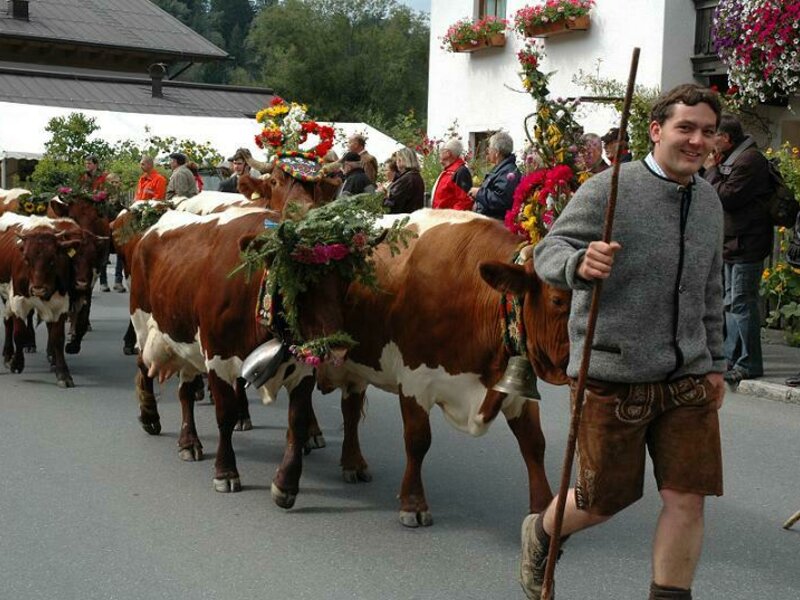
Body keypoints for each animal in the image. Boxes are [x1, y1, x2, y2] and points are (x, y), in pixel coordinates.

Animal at [0, 213, 103, 386]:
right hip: (6, 296)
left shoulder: (66, 302)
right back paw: (8, 355)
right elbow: (19, 333)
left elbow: (60, 335)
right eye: (26, 259)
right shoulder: (19, 301)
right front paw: (17, 363)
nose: (38, 289)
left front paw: (62, 370)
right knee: (8, 322)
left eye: (53, 259)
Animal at [278, 210, 572, 524]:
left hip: (357, 367)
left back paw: (353, 463)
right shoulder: (415, 380)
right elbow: (418, 440)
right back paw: (309, 438)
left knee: (351, 411)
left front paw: (543, 510)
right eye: (557, 300)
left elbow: (534, 443)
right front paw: (414, 504)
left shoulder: (515, 387)